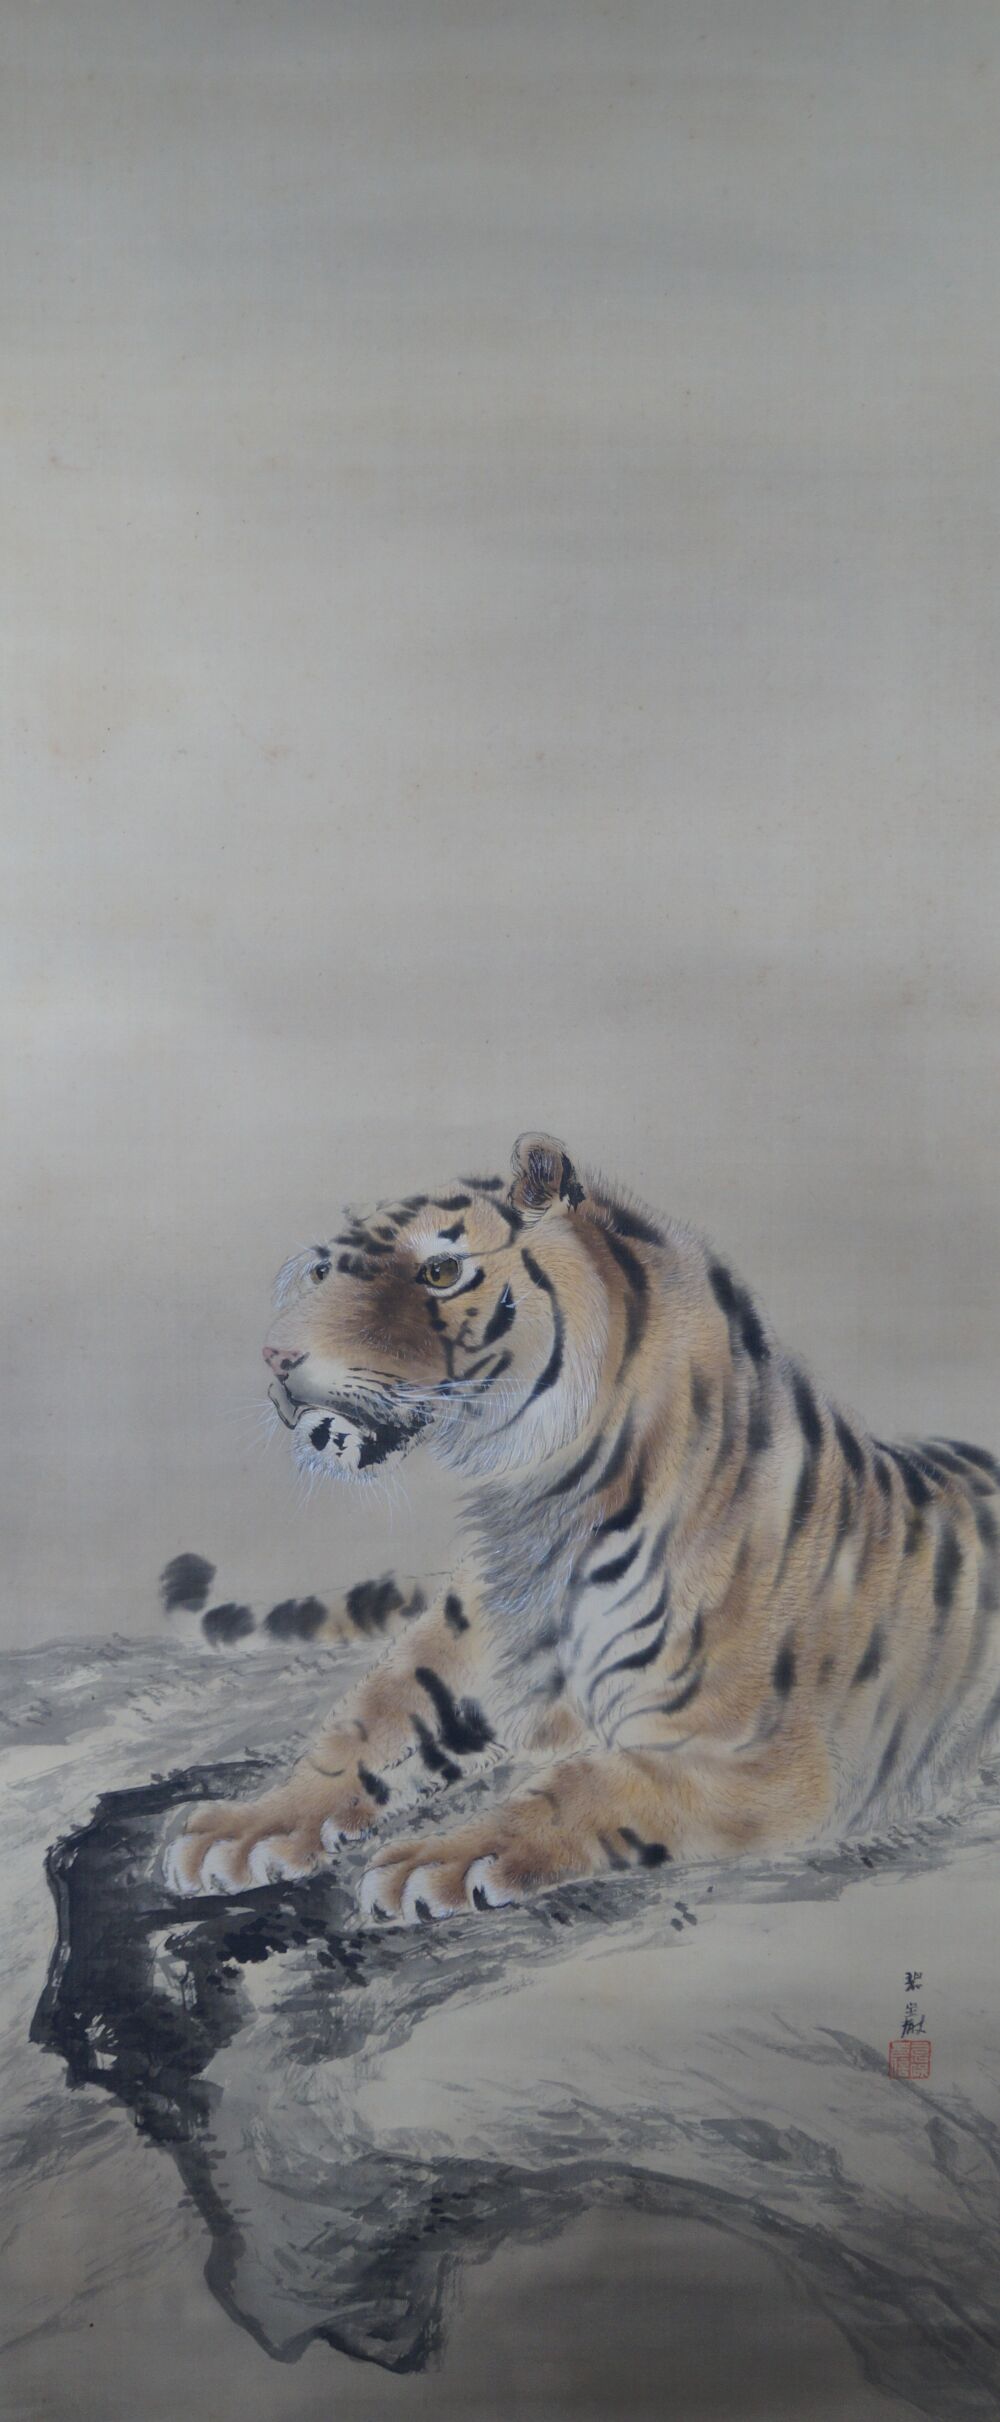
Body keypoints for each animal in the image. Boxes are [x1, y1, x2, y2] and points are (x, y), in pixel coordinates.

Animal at [163, 1131, 1000, 1922]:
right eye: (322, 1274)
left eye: (441, 1272)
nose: (276, 1356)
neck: (540, 1499)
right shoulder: (470, 1656)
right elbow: (360, 1731)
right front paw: (238, 1832)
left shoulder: (765, 1759)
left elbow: (589, 1784)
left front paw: (436, 1861)